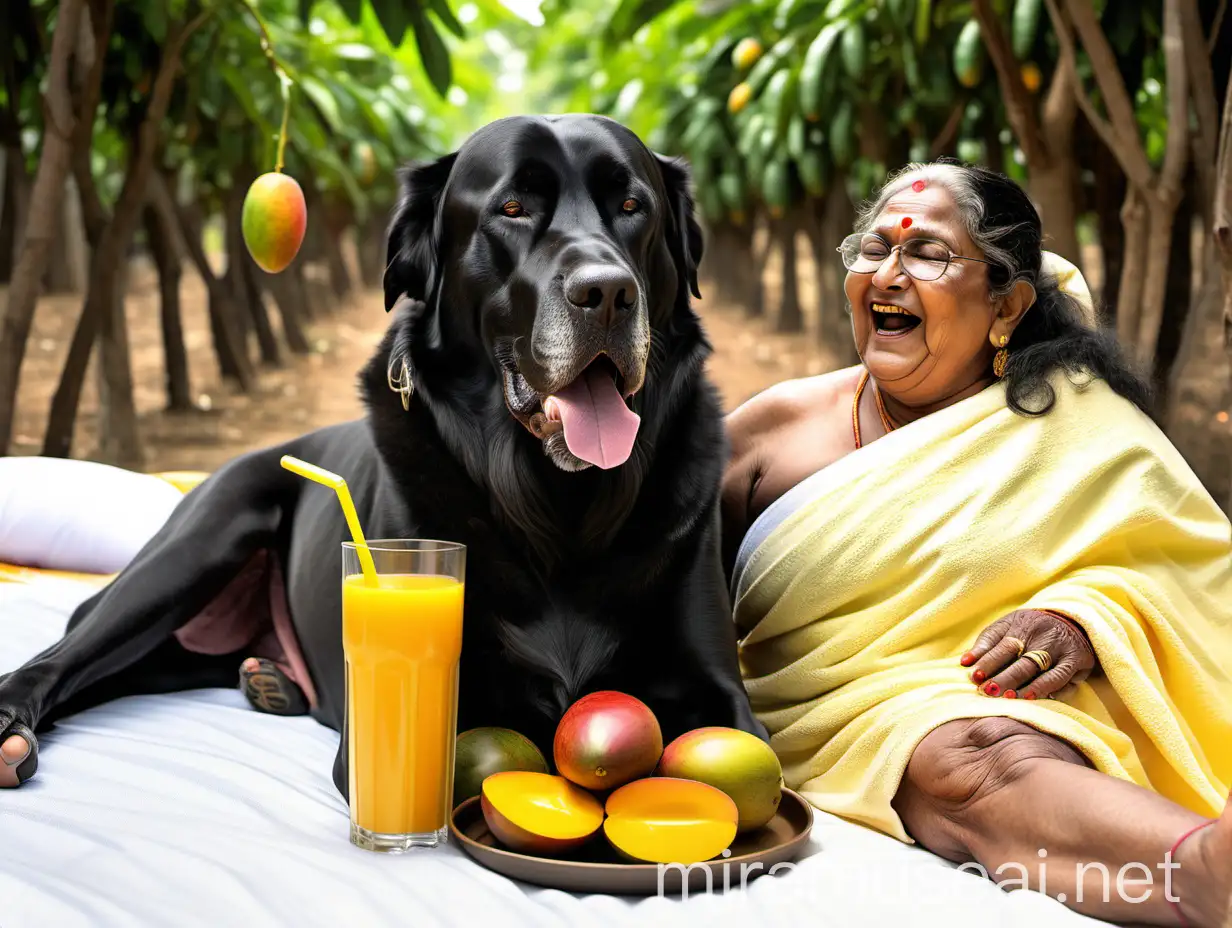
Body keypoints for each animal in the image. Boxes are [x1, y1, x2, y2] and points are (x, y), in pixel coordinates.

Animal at [0, 115, 763, 798]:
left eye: (632, 207)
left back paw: (269, 680)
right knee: (58, 660)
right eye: (512, 209)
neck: (557, 504)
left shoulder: (719, 689)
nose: (606, 292)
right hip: (201, 539)